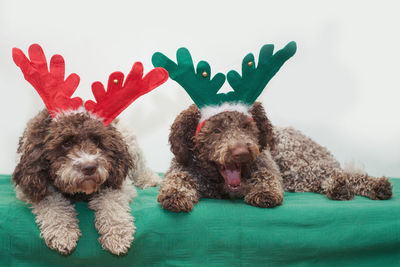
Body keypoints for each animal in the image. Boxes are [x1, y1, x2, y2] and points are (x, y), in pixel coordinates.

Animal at [14, 109, 161, 255]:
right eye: (66, 143)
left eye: (96, 140)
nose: (90, 167)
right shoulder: (33, 186)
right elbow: (53, 204)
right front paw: (63, 233)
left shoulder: (118, 183)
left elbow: (111, 202)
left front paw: (117, 235)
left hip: (132, 146)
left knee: (140, 166)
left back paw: (150, 179)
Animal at [158, 101, 392, 213]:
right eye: (216, 130)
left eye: (245, 126)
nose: (242, 153)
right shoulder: (182, 168)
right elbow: (177, 179)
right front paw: (175, 194)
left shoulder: (267, 166)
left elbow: (266, 177)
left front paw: (264, 192)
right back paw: (339, 188)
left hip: (297, 166)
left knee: (339, 173)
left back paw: (373, 185)